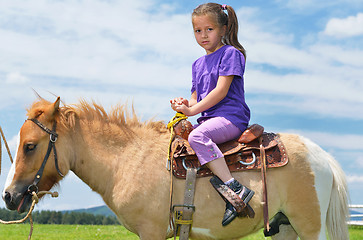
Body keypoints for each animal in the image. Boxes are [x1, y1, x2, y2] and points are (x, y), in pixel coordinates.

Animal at [2, 98, 350, 240]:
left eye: (30, 145)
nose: (8, 196)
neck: (127, 158)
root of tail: (322, 156)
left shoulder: (152, 232)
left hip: (309, 227)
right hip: (284, 228)